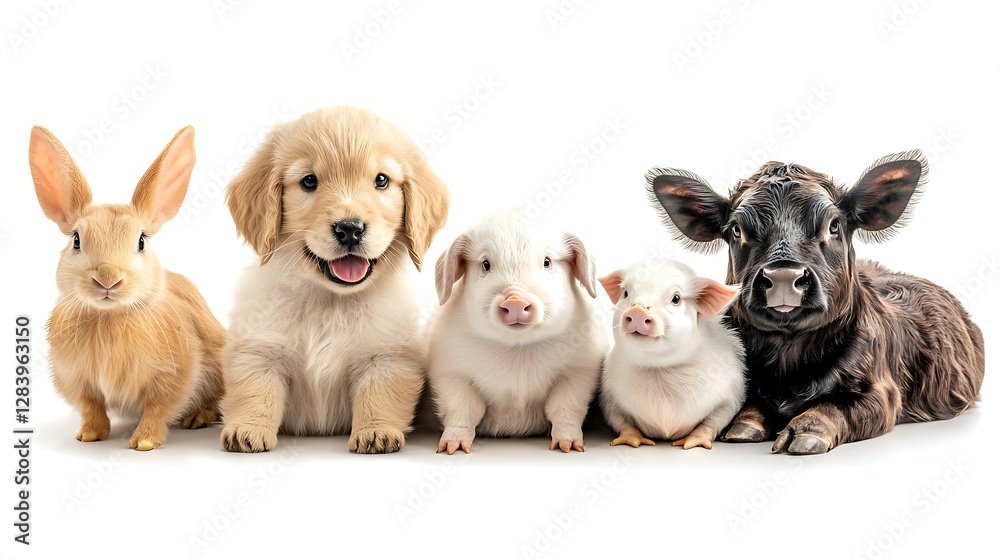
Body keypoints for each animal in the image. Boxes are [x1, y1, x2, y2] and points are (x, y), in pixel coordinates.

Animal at [28, 125, 226, 451]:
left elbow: (158, 408)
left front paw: (144, 441)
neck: (109, 317)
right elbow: (92, 406)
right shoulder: (79, 381)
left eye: (141, 242)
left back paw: (197, 418)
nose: (108, 279)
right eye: (76, 240)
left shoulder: (172, 376)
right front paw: (89, 435)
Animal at [598, 258, 746, 449]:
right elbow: (621, 421)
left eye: (676, 298)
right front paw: (635, 442)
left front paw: (686, 444)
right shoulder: (608, 397)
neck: (659, 367)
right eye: (625, 293)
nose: (637, 310)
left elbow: (713, 421)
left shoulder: (731, 395)